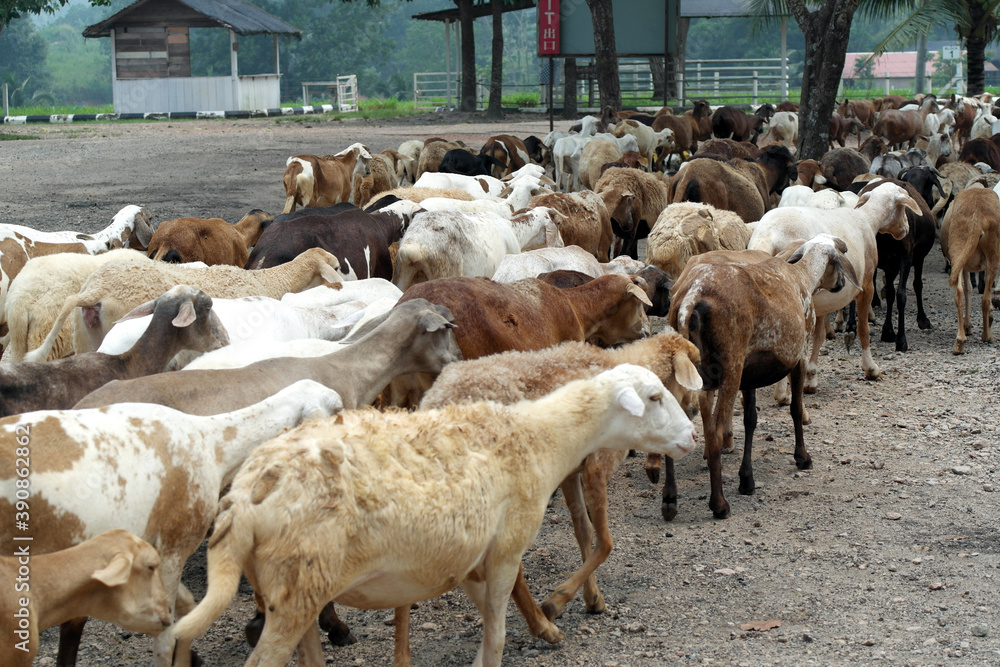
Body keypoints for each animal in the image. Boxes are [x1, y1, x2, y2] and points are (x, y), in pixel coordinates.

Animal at [167, 365, 696, 667]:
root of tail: (244, 497)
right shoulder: (505, 552)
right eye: (654, 397)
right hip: (296, 589)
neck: (539, 438)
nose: (691, 435)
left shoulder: (467, 560)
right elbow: (496, 637)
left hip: (295, 591)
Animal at [418, 333, 702, 628]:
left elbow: (583, 530)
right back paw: (540, 623)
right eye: (694, 365)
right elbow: (605, 543)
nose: (693, 411)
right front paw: (557, 600)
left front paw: (593, 598)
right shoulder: (597, 465)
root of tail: (435, 399)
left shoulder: (572, 471)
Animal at [670, 235, 859, 519]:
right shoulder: (798, 355)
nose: (841, 284)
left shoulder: (750, 375)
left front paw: (746, 480)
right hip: (730, 368)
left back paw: (668, 503)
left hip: (688, 370)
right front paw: (803, 458)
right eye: (838, 261)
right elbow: (795, 408)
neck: (803, 276)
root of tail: (693, 295)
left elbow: (750, 420)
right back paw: (719, 505)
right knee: (714, 432)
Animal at [940, 184, 1000, 354]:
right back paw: (986, 335)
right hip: (990, 256)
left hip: (959, 250)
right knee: (983, 297)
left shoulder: (964, 265)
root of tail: (977, 215)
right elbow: (972, 290)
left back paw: (960, 341)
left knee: (961, 293)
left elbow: (968, 289)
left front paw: (968, 325)